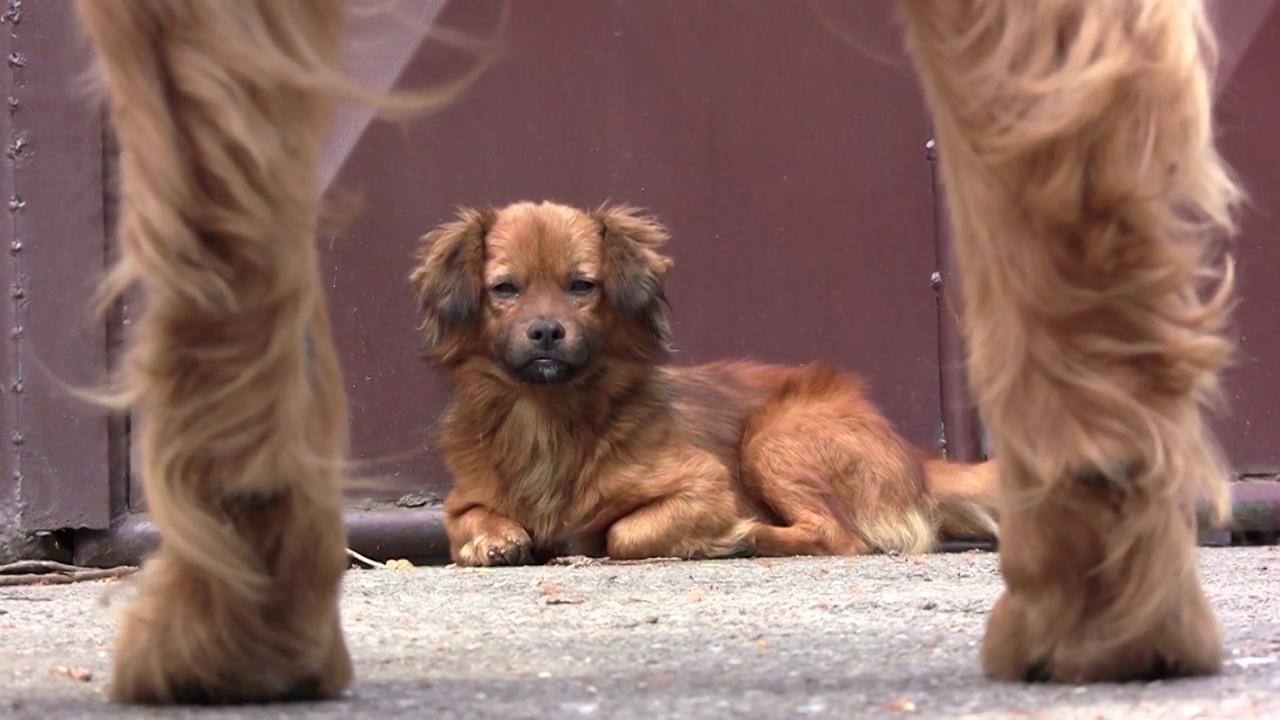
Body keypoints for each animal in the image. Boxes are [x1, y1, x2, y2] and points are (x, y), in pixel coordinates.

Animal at [409, 198, 998, 563]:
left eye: (581, 287)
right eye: (505, 289)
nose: (547, 332)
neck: (548, 416)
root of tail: (914, 455)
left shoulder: (705, 485)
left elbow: (623, 532)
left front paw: (711, 535)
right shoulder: (461, 501)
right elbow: (466, 521)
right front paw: (494, 540)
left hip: (775, 437)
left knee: (841, 536)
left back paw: (749, 537)